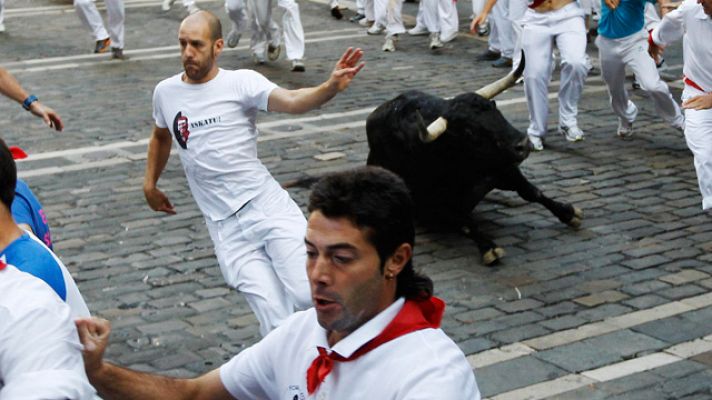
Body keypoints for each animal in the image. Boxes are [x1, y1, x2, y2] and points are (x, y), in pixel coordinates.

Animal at [364, 56, 580, 268]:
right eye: (469, 131)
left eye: (494, 109)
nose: (523, 144)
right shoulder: (432, 207)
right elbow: (464, 221)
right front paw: (488, 247)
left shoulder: (504, 168)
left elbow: (533, 192)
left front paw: (568, 212)